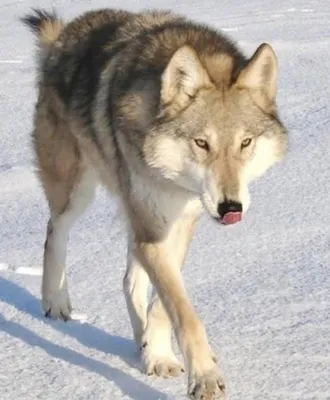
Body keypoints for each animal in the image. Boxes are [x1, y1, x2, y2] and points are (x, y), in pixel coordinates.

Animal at [21, 7, 288, 398]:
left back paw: (141, 342)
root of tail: (63, 35)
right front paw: (204, 377)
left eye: (245, 142)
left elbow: (164, 303)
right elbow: (183, 311)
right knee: (55, 231)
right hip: (76, 191)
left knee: (129, 279)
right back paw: (55, 303)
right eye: (201, 143)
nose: (230, 209)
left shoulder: (182, 218)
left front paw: (157, 353)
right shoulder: (153, 226)